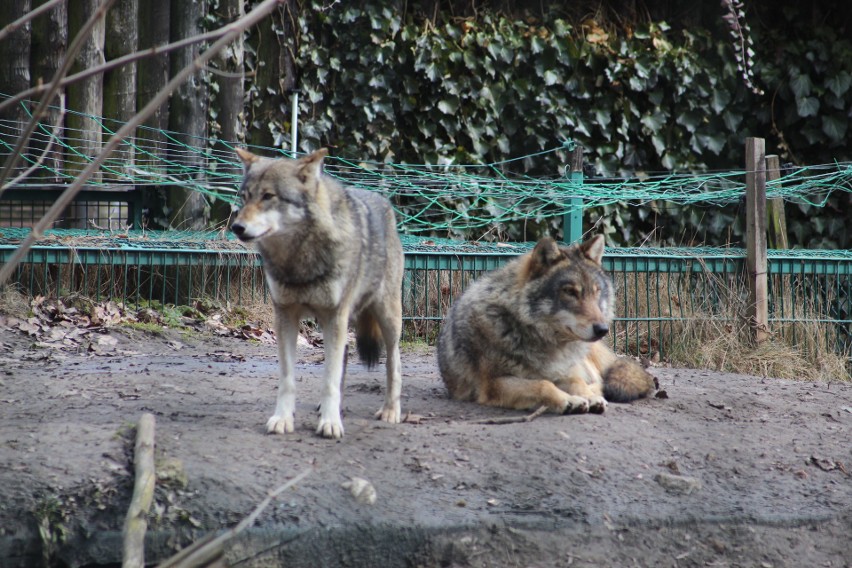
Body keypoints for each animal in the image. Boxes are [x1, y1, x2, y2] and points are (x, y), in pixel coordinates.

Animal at [231, 148, 404, 440]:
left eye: (268, 196)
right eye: (244, 197)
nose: (237, 227)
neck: (299, 260)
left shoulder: (334, 316)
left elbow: (329, 380)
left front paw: (331, 423)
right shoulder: (285, 316)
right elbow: (288, 379)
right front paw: (283, 419)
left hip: (387, 319)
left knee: (393, 363)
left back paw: (391, 411)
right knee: (344, 355)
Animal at [436, 234, 656, 412]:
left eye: (596, 291)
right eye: (570, 292)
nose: (602, 329)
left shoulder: (566, 371)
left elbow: (577, 382)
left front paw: (588, 397)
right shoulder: (494, 384)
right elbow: (542, 384)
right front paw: (570, 401)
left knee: (600, 380)